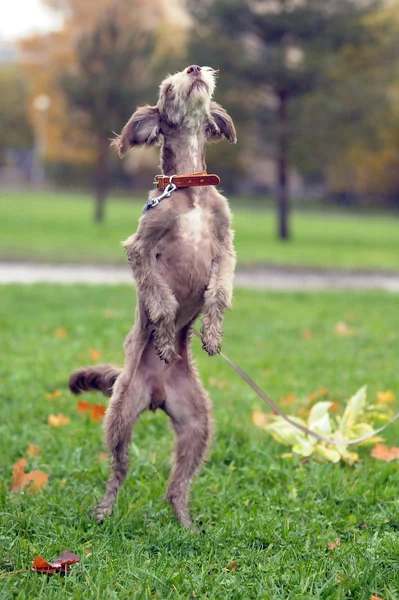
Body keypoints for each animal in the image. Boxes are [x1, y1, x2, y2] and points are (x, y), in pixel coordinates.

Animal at [69, 63, 238, 528]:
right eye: (168, 87)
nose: (195, 68)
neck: (189, 188)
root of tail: (157, 394)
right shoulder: (141, 248)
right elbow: (161, 299)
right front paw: (163, 338)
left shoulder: (226, 246)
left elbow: (220, 290)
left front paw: (212, 334)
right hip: (121, 414)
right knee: (119, 469)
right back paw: (104, 511)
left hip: (198, 424)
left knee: (176, 486)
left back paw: (187, 524)